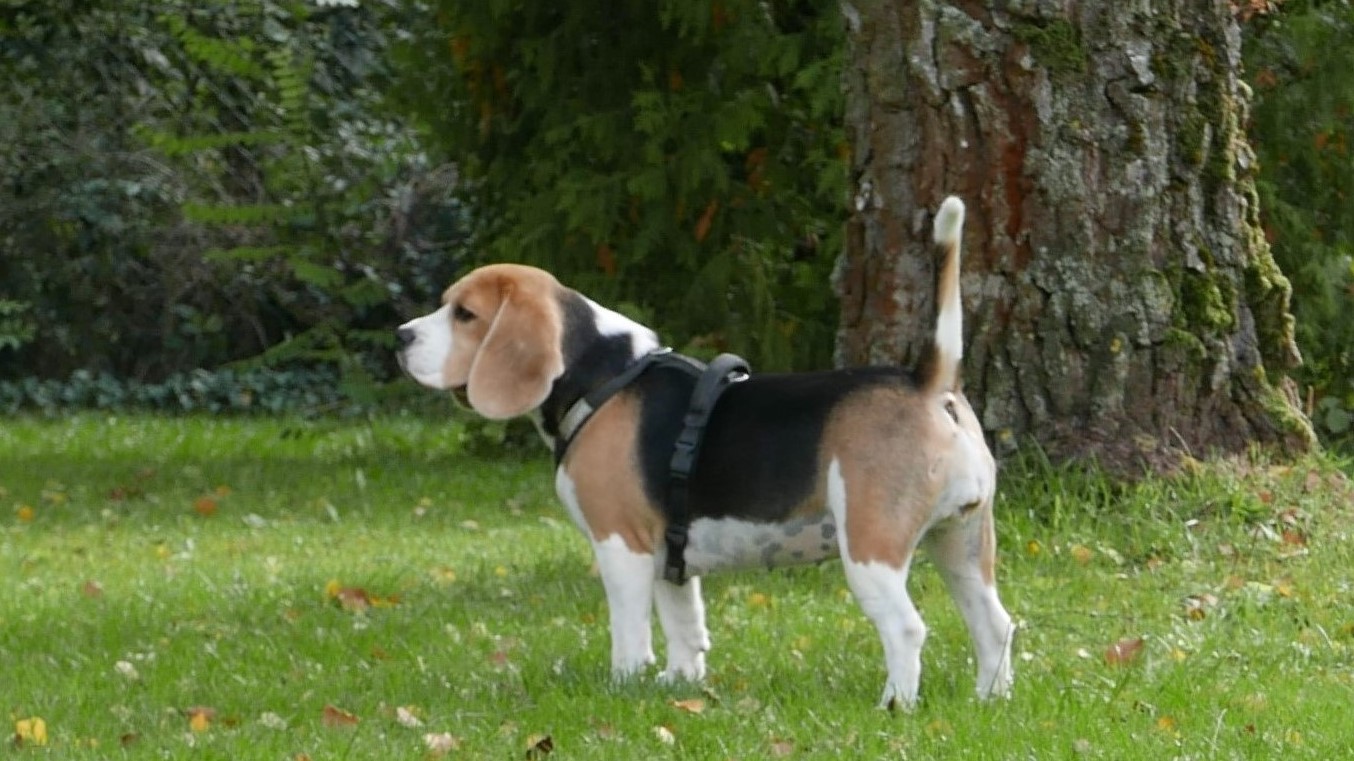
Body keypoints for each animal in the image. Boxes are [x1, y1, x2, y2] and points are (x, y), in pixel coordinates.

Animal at [396, 197, 1013, 707]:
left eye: (465, 315)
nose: (401, 337)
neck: (603, 375)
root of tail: (926, 381)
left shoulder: (621, 546)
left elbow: (630, 632)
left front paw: (623, 686)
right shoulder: (672, 552)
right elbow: (684, 627)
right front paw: (678, 684)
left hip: (871, 549)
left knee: (907, 628)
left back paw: (894, 705)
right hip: (962, 542)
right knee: (995, 625)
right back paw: (990, 700)